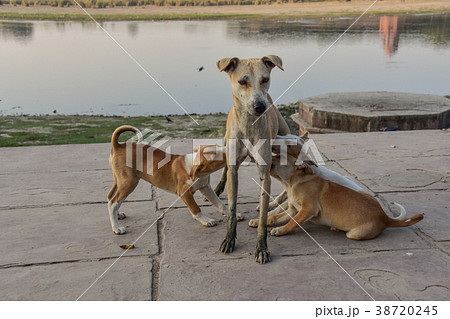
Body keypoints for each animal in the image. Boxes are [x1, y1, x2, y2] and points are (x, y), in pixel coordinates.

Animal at [216, 55, 290, 264]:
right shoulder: (233, 169)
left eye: (265, 79)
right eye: (242, 81)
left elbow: (264, 215)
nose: (260, 106)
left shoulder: (264, 173)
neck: (249, 124)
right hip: (225, 139)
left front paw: (262, 248)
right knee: (225, 168)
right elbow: (232, 208)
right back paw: (218, 188)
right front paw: (229, 240)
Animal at [262, 153, 424, 240]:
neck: (292, 183)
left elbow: (293, 221)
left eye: (280, 156)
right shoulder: (292, 209)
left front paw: (281, 230)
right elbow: (274, 217)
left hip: (355, 234)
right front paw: (261, 222)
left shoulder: (308, 209)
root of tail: (384, 217)